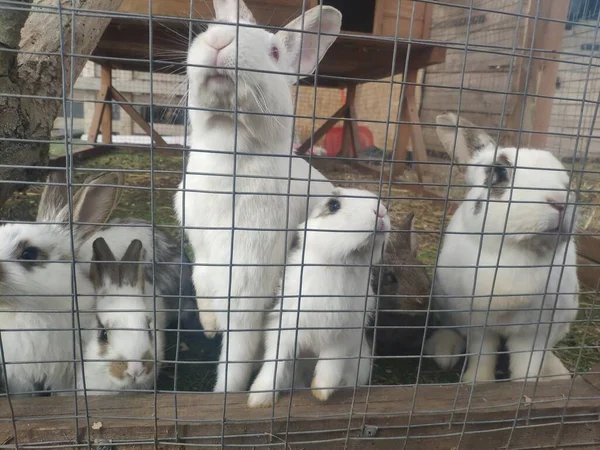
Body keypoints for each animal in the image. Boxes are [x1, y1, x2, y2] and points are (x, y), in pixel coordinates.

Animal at [176, 0, 340, 392]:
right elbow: (200, 282)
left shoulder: (248, 279)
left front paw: (224, 394)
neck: (227, 143)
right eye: (211, 28)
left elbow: (237, 354)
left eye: (275, 52)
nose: (220, 39)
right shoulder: (201, 254)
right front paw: (209, 328)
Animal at [247, 187, 392, 408]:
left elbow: (330, 365)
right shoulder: (285, 326)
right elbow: (275, 362)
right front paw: (258, 399)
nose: (381, 211)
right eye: (333, 205)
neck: (340, 266)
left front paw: (321, 392)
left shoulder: (342, 333)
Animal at [424, 113, 580, 384]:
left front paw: (527, 386)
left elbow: (527, 364)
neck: (515, 252)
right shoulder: (478, 324)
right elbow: (482, 354)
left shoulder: (534, 331)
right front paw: (477, 381)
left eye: (566, 181)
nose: (560, 202)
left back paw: (556, 372)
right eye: (501, 171)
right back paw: (444, 352)